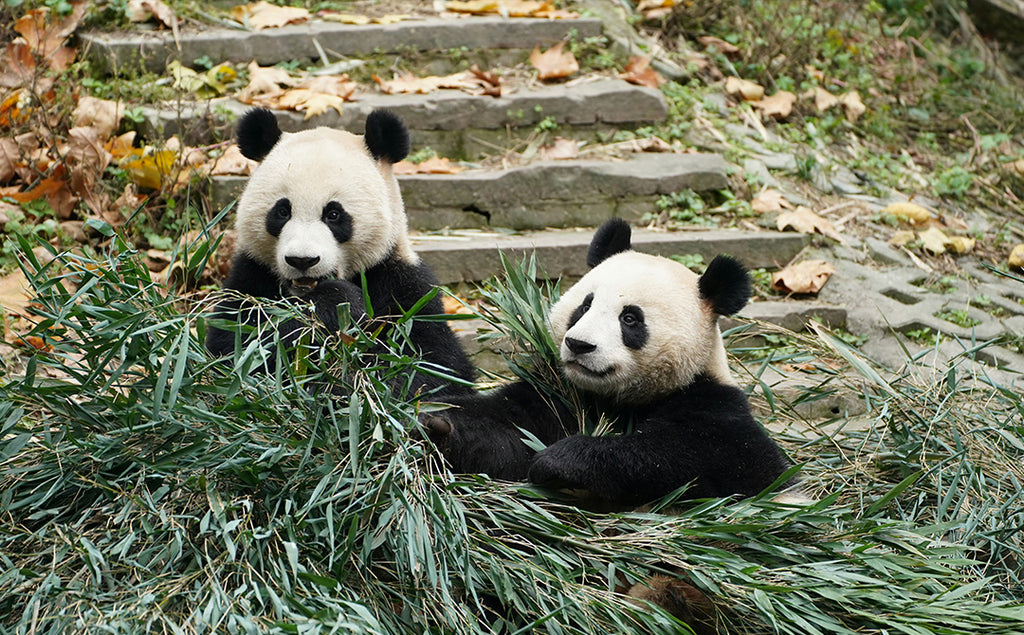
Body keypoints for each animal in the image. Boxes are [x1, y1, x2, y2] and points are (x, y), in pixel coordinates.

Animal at [205, 108, 475, 395]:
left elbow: (428, 366)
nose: (302, 260)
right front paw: (334, 305)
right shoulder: (252, 276)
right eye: (282, 211)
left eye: (333, 214)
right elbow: (236, 348)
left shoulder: (402, 285)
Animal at [422, 218, 795, 508]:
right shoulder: (560, 396)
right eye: (585, 306)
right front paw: (435, 421)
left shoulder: (713, 405)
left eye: (629, 318)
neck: (618, 397)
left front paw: (561, 460)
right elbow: (508, 430)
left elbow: (702, 461)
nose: (579, 344)